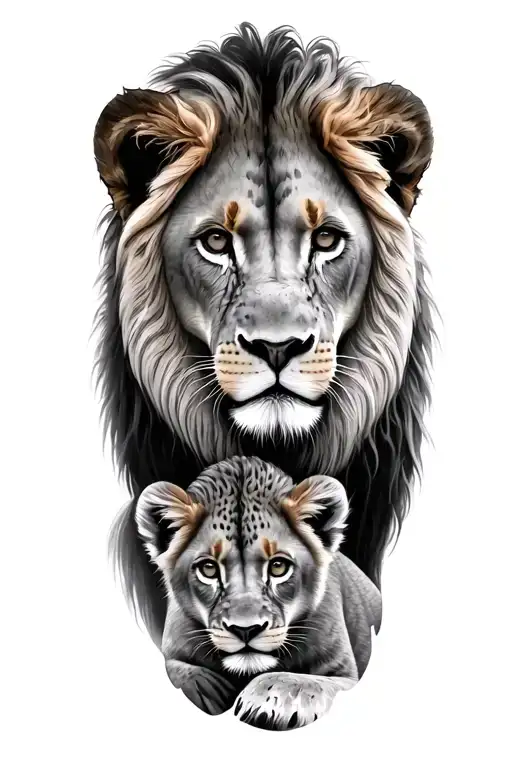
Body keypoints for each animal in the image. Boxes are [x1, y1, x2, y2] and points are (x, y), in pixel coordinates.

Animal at [135, 456, 382, 730]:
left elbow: (305, 681)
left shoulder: (347, 675)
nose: (245, 629)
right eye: (208, 569)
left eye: (278, 566)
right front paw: (208, 689)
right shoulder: (172, 651)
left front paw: (269, 696)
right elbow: (178, 670)